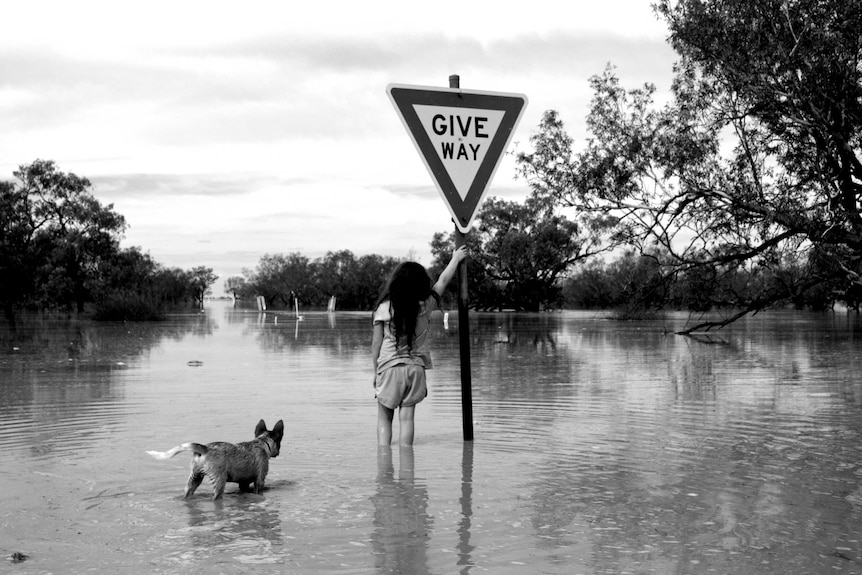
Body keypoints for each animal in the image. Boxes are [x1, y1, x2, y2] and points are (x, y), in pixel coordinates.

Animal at [147, 418, 286, 500]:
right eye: (279, 443)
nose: (278, 453)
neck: (262, 442)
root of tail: (205, 448)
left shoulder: (243, 483)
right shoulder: (259, 480)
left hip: (194, 478)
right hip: (219, 480)